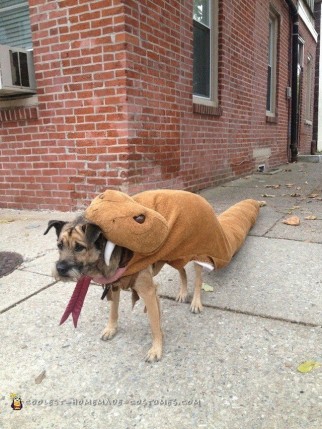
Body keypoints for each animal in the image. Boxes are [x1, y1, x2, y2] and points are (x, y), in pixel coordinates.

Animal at [44, 216, 204, 360]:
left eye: (79, 247)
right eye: (59, 245)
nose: (60, 269)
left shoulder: (148, 292)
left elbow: (154, 324)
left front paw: (156, 348)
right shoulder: (114, 286)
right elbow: (113, 311)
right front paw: (111, 329)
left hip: (196, 255)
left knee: (198, 279)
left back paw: (196, 302)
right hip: (175, 257)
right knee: (182, 271)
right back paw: (183, 293)